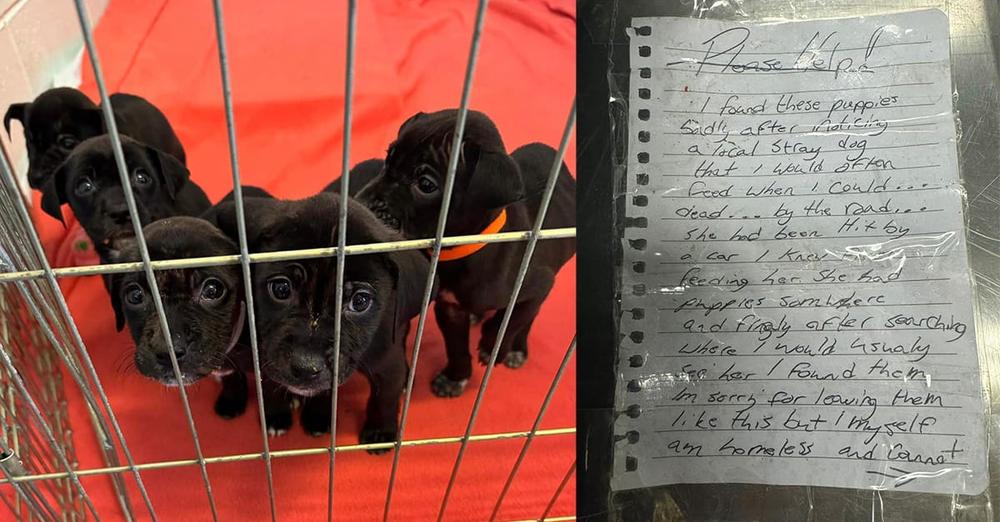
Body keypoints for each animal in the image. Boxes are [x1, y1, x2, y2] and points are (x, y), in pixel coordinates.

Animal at [215, 192, 426, 446]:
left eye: (360, 301)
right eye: (281, 289)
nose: (306, 367)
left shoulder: (386, 360)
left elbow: (384, 397)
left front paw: (380, 432)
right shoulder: (265, 353)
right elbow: (270, 385)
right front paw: (277, 415)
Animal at [358, 108, 580, 394]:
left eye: (426, 185)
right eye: (388, 159)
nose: (361, 205)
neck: (463, 249)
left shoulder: (539, 283)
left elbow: (514, 318)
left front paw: (494, 345)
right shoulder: (450, 308)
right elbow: (456, 346)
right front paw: (456, 376)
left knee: (530, 315)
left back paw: (516, 348)